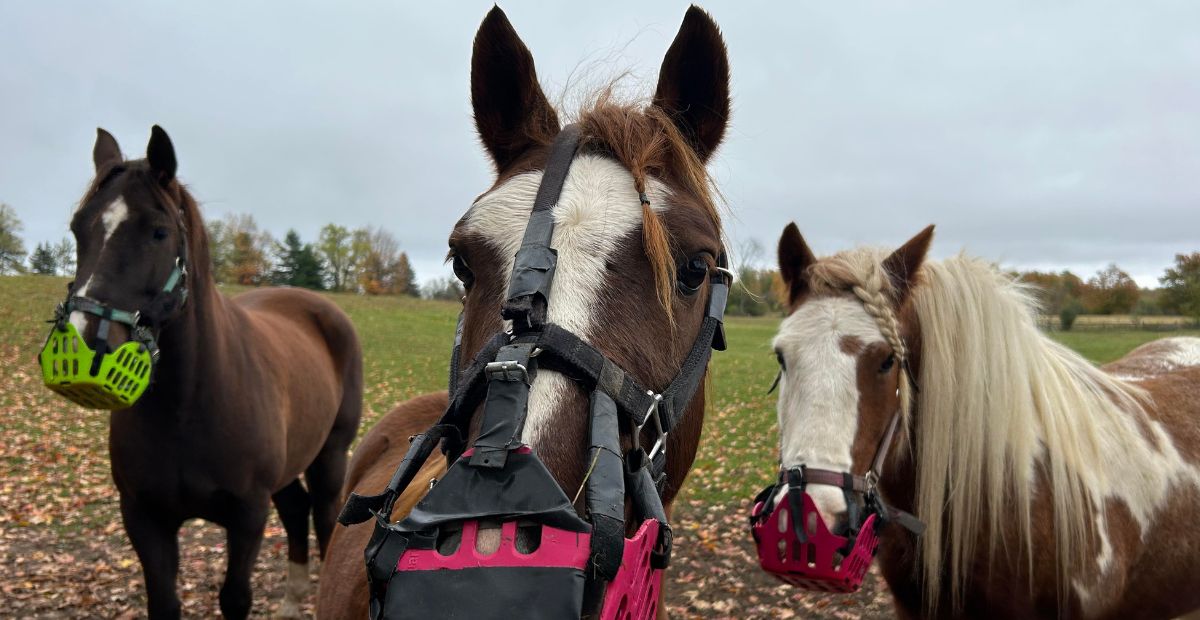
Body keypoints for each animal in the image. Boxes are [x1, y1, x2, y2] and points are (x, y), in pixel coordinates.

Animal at [62, 127, 360, 618]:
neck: (188, 403)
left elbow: (235, 598)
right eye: (77, 228)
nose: (83, 343)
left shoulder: (247, 515)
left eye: (159, 232)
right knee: (296, 511)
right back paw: (292, 602)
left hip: (330, 456)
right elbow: (164, 603)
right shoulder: (144, 518)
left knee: (324, 520)